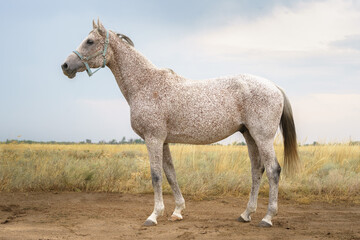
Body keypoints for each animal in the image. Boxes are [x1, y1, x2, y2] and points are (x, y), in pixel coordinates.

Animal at [61, 19, 298, 228]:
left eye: (90, 41)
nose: (65, 65)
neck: (146, 84)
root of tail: (274, 87)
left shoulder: (153, 139)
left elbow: (156, 175)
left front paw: (154, 215)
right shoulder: (163, 141)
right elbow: (170, 174)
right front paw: (177, 211)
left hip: (262, 137)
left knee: (273, 170)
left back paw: (267, 218)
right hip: (249, 136)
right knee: (257, 170)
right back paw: (246, 214)